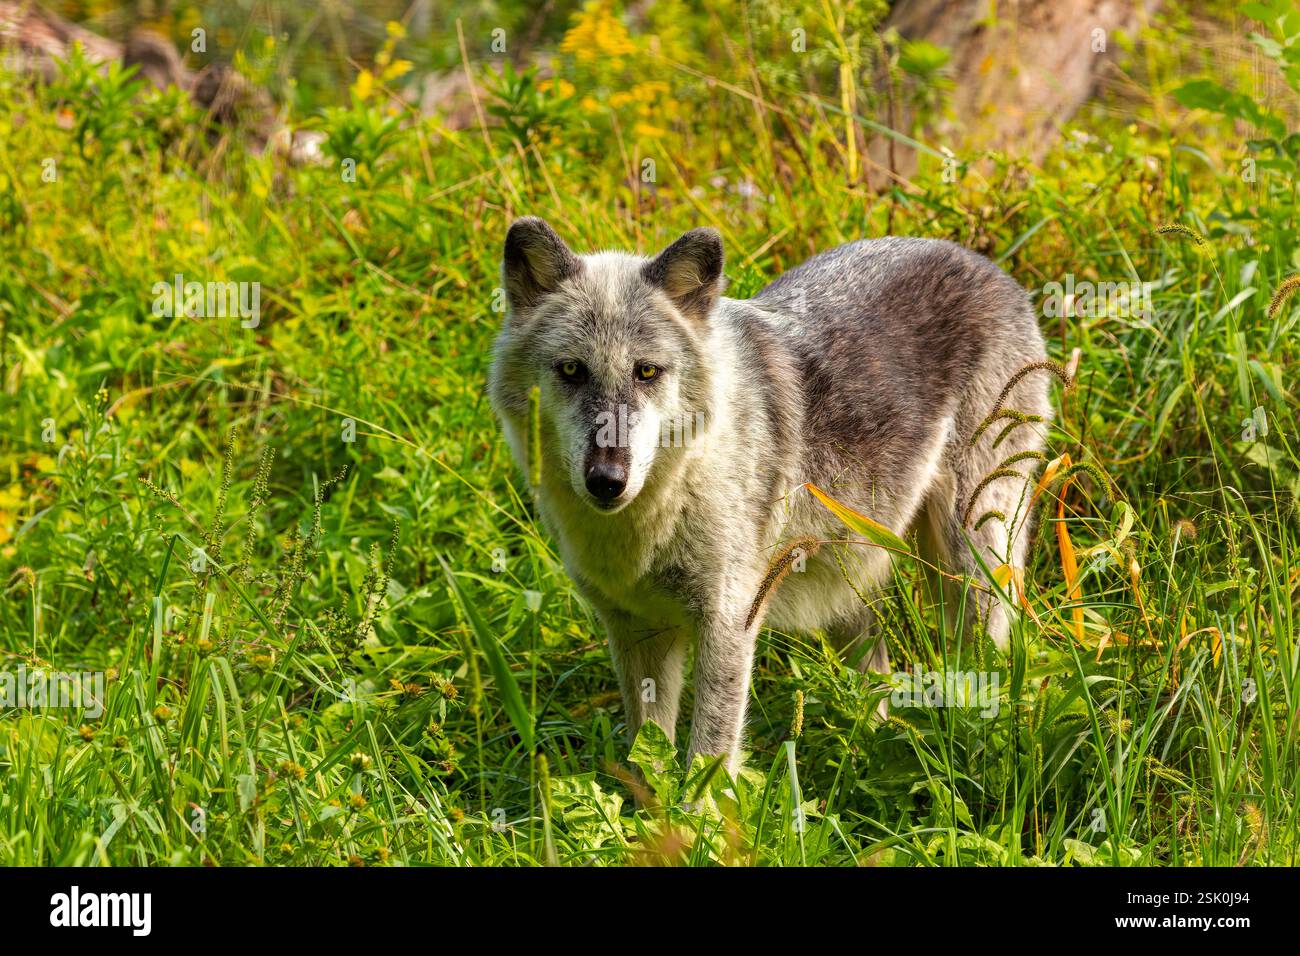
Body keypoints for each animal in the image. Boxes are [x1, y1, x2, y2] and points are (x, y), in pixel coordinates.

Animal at [488, 218, 1051, 775]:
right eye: (571, 370)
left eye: (646, 371)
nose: (607, 479)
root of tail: (989, 267)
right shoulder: (637, 630)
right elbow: (648, 757)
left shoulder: (729, 623)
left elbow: (709, 756)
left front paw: (700, 804)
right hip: (850, 585)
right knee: (876, 685)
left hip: (968, 566)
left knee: (979, 667)